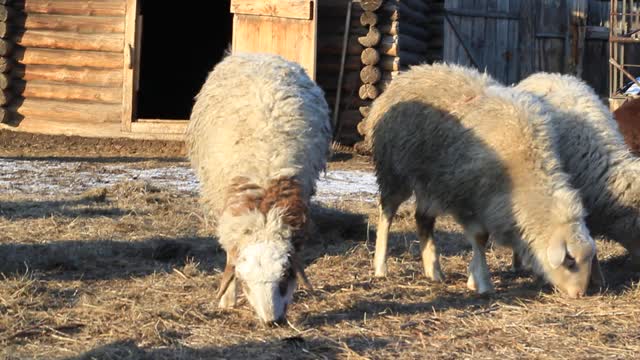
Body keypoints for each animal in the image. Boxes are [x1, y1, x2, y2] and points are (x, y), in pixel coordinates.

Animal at [364, 62, 600, 298]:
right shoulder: (467, 199)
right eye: (570, 261)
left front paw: (472, 278)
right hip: (394, 171)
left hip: (430, 181)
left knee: (423, 219)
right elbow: (480, 238)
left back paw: (434, 271)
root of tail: (409, 73)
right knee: (387, 213)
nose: (580, 294)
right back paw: (380, 267)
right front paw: (483, 282)